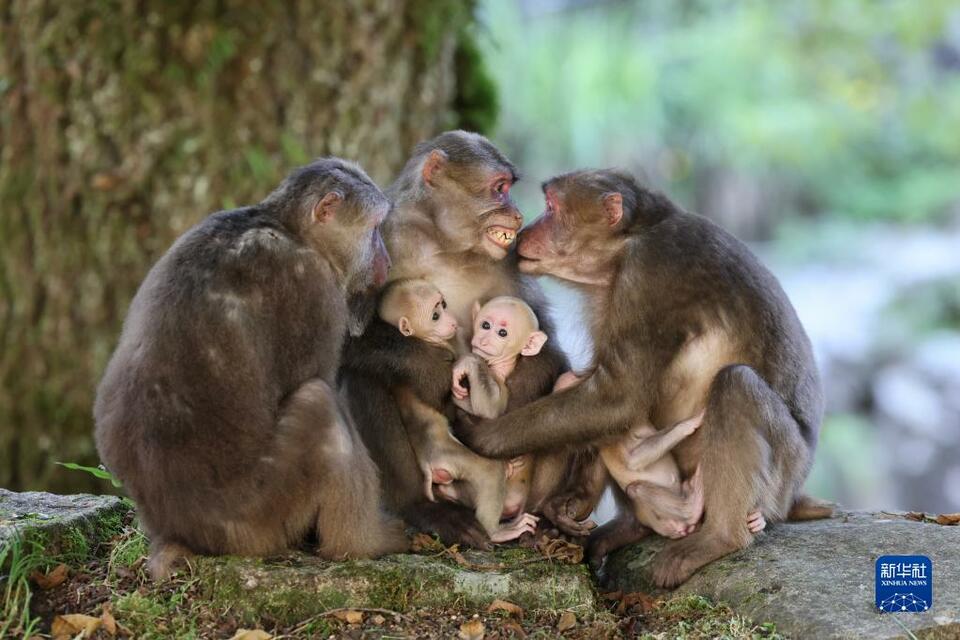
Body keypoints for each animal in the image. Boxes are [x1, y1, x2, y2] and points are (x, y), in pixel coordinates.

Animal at [376, 278, 540, 544]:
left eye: (502, 332)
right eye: (486, 325)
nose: (483, 339)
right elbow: (487, 410)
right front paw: (468, 365)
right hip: (448, 456)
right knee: (489, 472)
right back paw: (497, 532)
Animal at [556, 370, 764, 540]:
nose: (581, 375)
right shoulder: (607, 428)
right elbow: (633, 460)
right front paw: (688, 425)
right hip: (661, 522)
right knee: (635, 489)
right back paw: (692, 505)